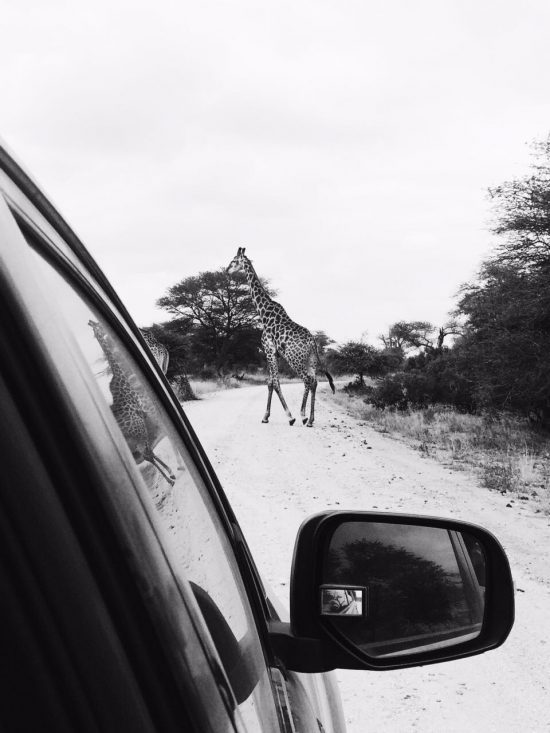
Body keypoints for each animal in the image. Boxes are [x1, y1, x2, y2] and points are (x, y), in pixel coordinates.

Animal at [225, 249, 336, 426]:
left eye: (234, 261)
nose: (226, 271)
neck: (263, 313)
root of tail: (313, 342)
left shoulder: (268, 349)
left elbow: (276, 383)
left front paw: (290, 417)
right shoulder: (273, 353)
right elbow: (270, 383)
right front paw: (265, 417)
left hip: (294, 358)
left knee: (307, 380)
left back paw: (303, 415)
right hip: (311, 359)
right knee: (315, 381)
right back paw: (311, 419)